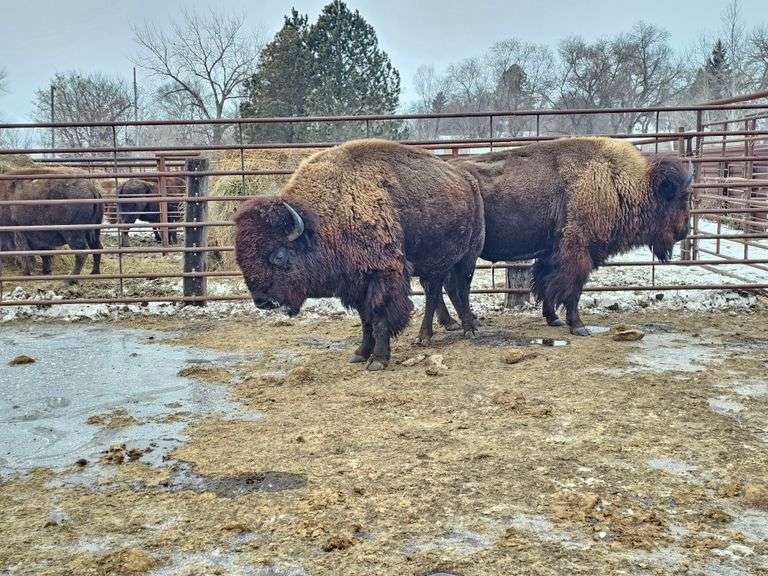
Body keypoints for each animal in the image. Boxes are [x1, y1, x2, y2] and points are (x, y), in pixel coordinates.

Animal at [234, 139, 485, 370]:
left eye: (279, 256)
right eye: (241, 260)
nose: (263, 302)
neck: (328, 218)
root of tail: (468, 181)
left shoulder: (381, 276)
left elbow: (379, 317)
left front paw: (379, 360)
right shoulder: (355, 284)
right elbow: (365, 320)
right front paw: (361, 353)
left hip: (468, 258)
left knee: (460, 289)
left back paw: (467, 329)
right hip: (435, 265)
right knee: (435, 292)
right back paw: (426, 336)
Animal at [440, 137, 693, 336]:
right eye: (680, 197)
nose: (685, 230)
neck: (616, 181)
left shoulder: (551, 253)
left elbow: (546, 283)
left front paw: (553, 318)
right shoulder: (577, 252)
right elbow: (571, 289)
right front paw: (578, 326)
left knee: (444, 284)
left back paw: (452, 323)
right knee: (453, 285)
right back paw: (466, 325)